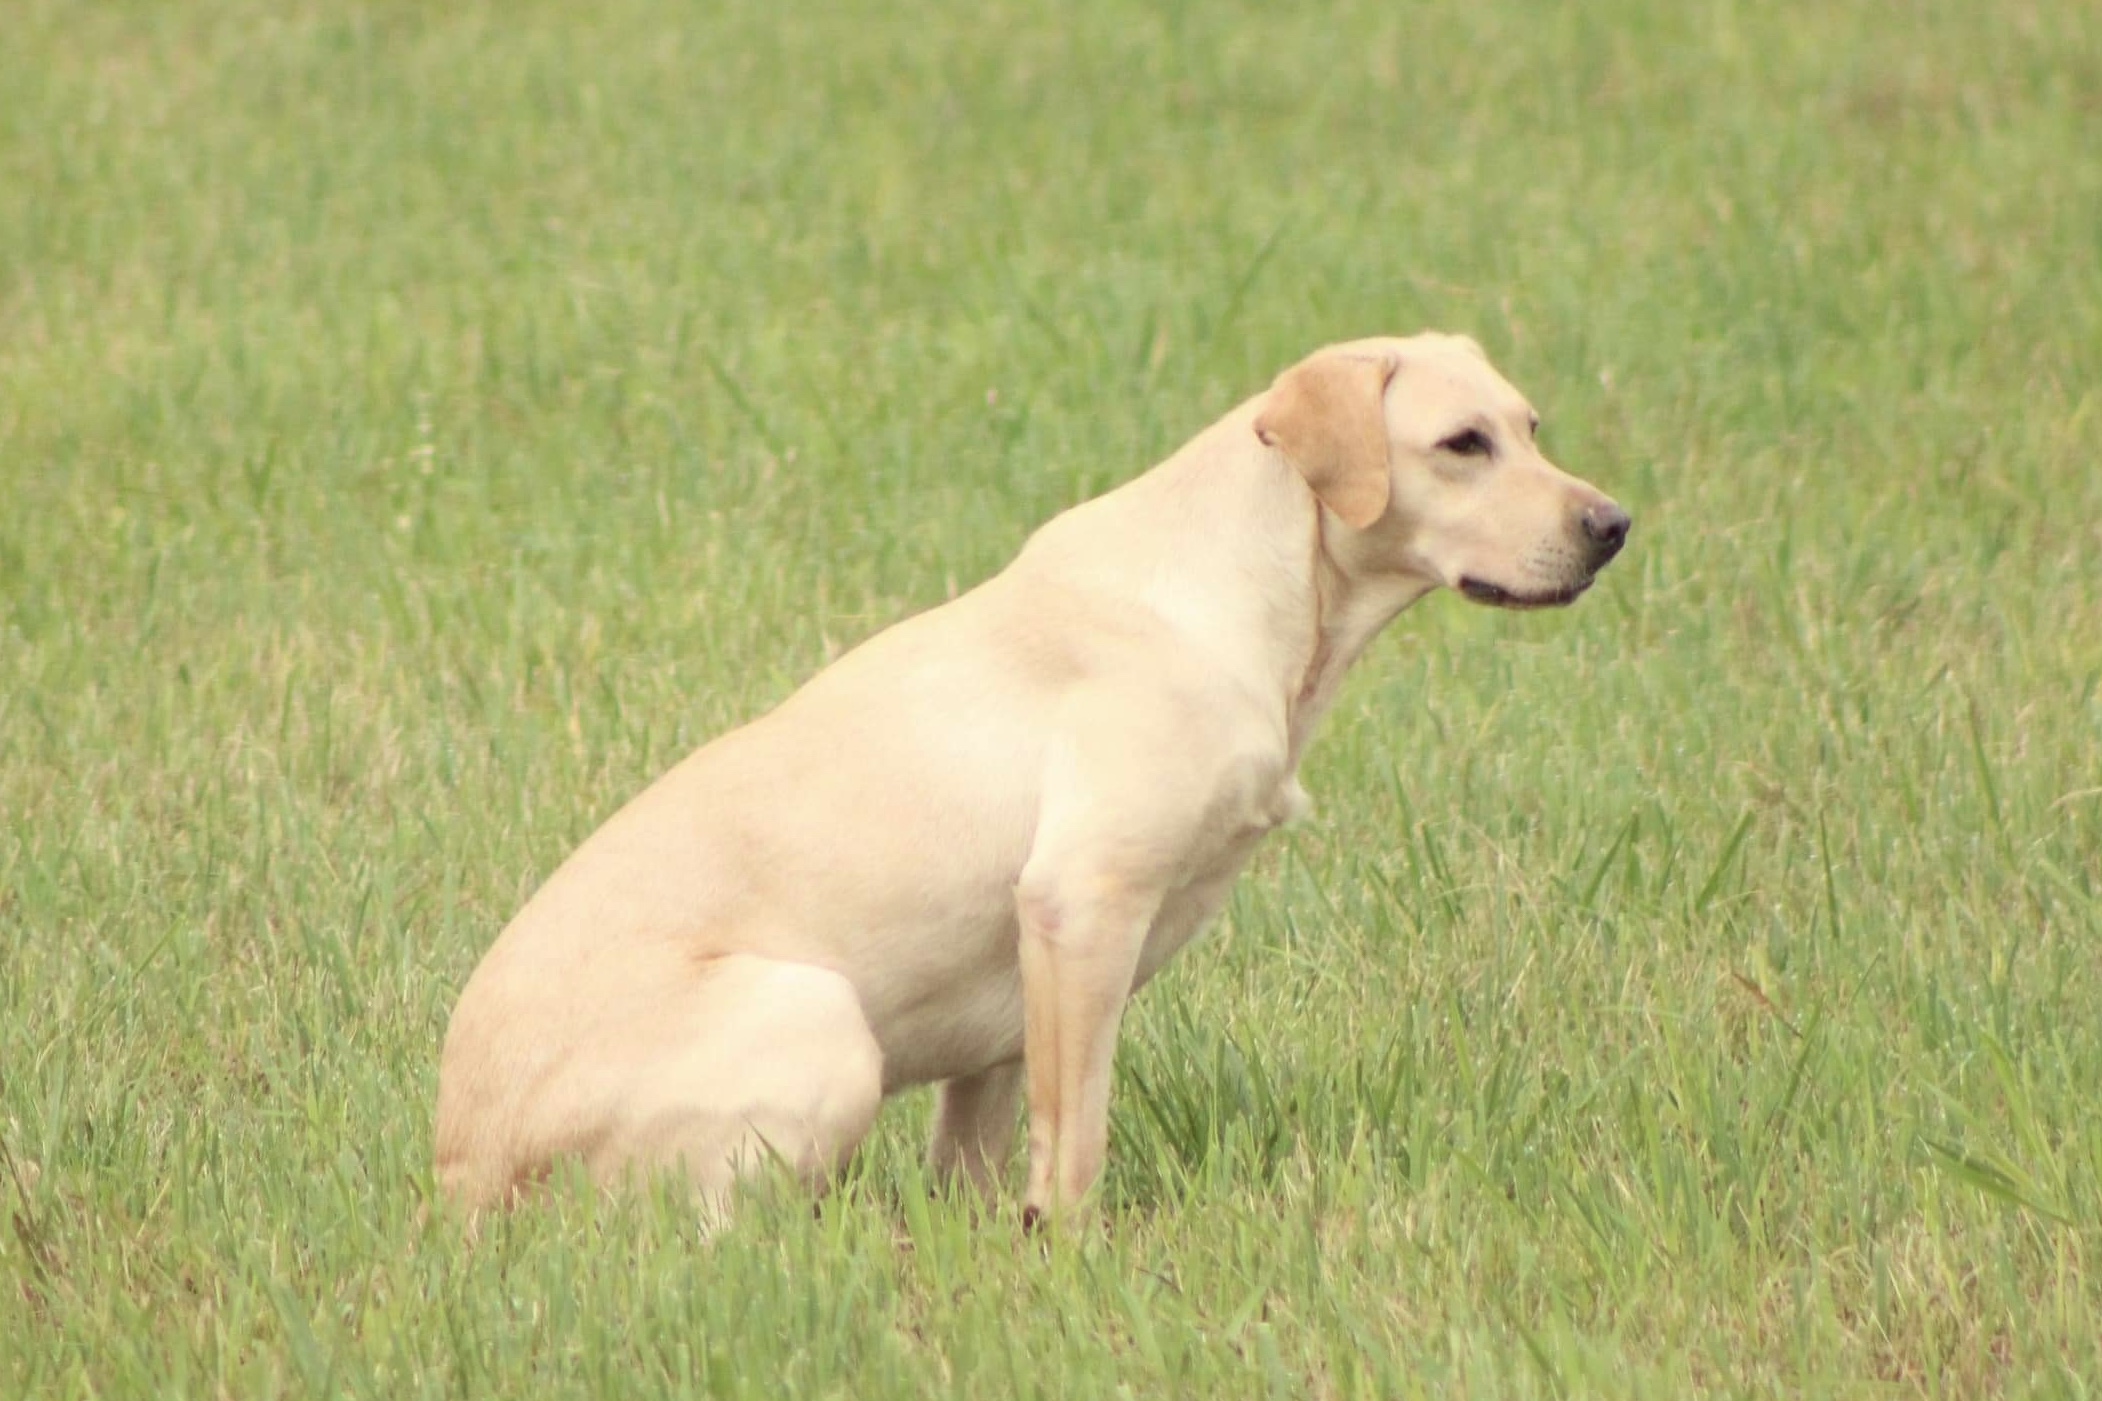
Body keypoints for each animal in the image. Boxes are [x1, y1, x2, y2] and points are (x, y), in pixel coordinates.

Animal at [435, 333, 1631, 1218]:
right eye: (1461, 444)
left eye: (1530, 428)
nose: (1614, 526)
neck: (1250, 590)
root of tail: (455, 1176)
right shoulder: (1083, 908)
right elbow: (1074, 1151)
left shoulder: (1008, 1005)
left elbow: (978, 1163)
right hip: (820, 1018)